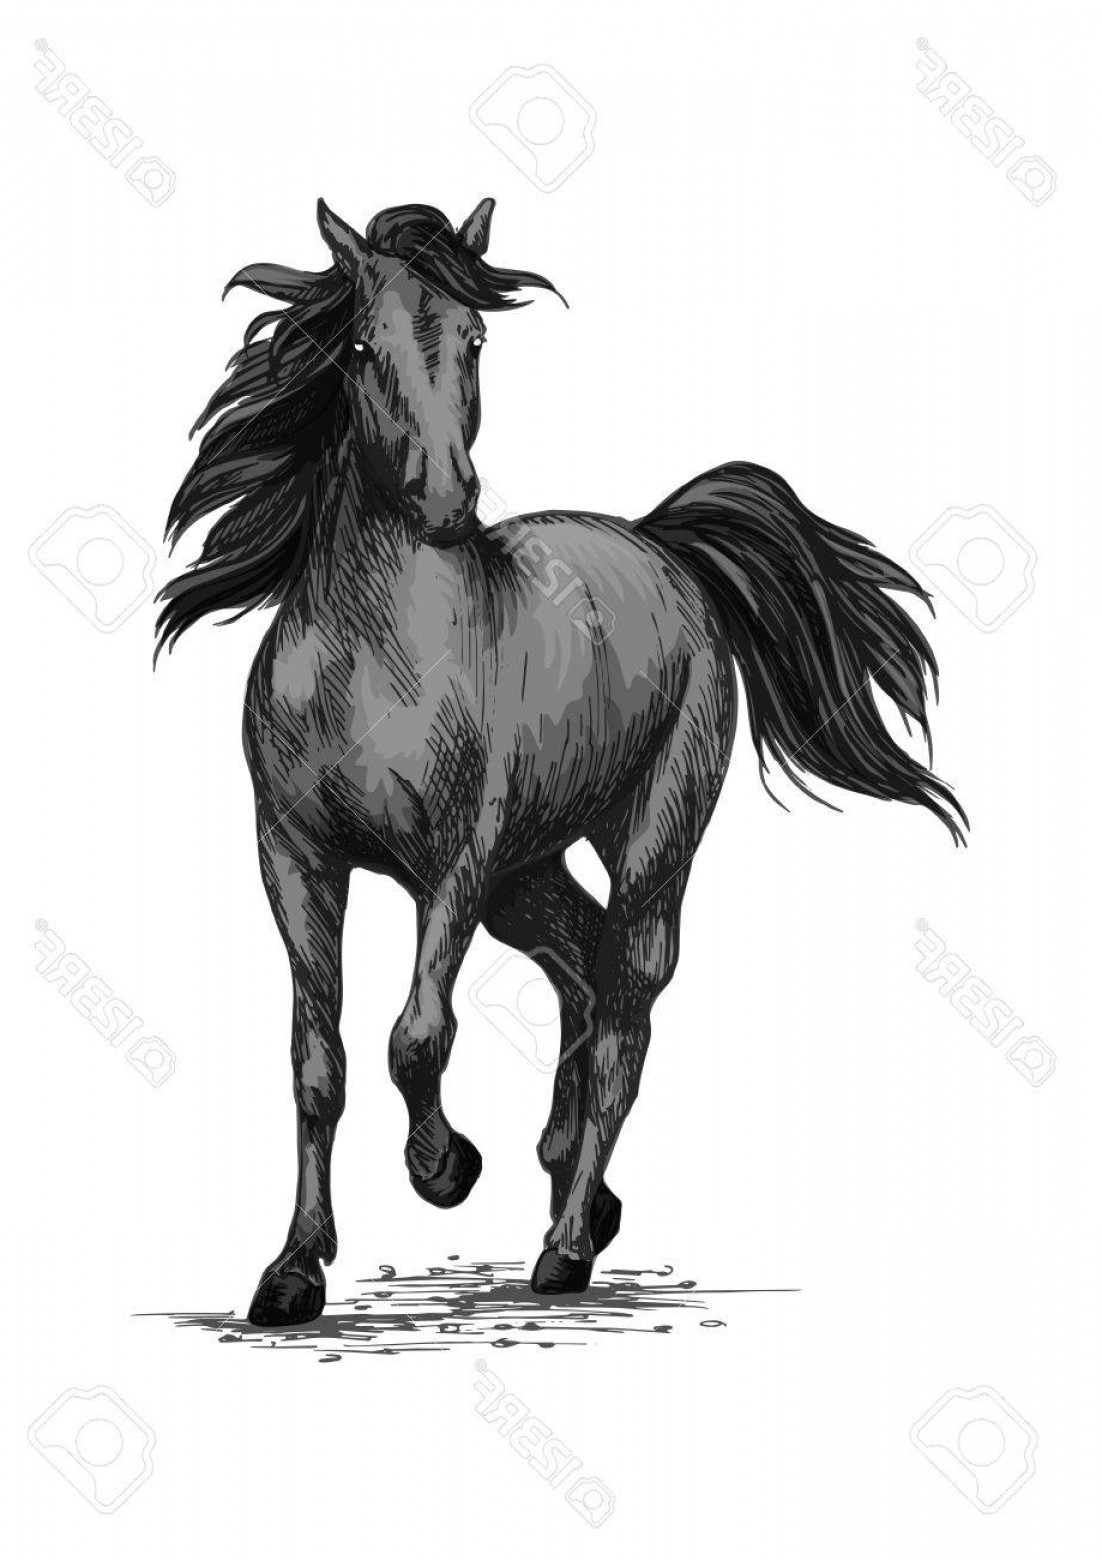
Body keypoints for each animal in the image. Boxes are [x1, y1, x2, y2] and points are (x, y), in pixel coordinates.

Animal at [157, 196, 967, 1327]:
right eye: (359, 343)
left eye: (476, 338)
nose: (449, 500)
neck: (374, 656)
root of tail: (665, 547)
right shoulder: (296, 859)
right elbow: (318, 1062)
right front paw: (292, 1273)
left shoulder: (453, 864)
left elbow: (417, 1034)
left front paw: (446, 1169)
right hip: (528, 870)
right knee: (581, 969)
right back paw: (573, 1182)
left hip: (644, 847)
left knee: (625, 1011)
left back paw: (569, 1244)